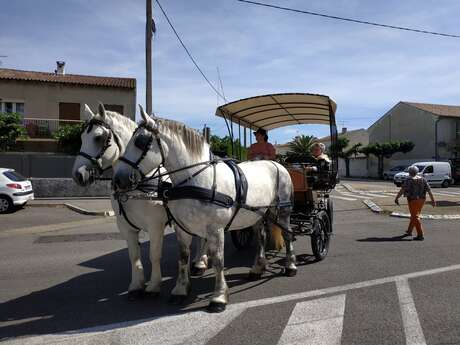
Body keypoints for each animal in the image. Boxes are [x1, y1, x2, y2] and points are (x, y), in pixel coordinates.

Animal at [71, 103, 207, 298]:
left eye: (98, 137)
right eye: (82, 137)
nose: (78, 174)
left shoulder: (155, 225)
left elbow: (154, 254)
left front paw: (154, 285)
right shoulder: (125, 226)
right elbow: (134, 255)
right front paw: (136, 285)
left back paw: (200, 262)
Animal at [113, 109, 296, 310]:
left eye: (140, 141)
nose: (118, 179)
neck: (198, 179)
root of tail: (276, 164)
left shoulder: (215, 229)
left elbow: (218, 260)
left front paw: (219, 296)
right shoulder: (182, 228)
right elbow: (183, 257)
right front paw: (180, 290)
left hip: (283, 210)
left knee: (288, 234)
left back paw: (290, 266)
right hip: (257, 213)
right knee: (261, 236)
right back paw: (257, 267)